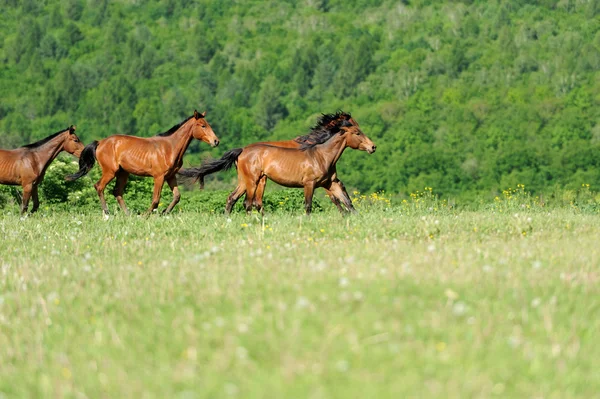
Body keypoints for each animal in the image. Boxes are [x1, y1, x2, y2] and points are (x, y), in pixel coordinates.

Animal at [67, 110, 219, 216]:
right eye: (202, 125)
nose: (216, 141)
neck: (169, 148)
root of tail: (100, 143)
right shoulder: (159, 177)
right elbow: (156, 199)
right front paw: (146, 215)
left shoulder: (171, 176)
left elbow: (177, 196)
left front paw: (164, 212)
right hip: (110, 172)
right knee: (99, 187)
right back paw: (107, 212)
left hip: (123, 173)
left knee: (117, 192)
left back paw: (128, 215)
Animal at [180, 122, 376, 216]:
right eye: (357, 133)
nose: (373, 147)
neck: (322, 156)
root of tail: (242, 150)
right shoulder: (310, 184)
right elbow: (309, 205)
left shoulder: (330, 183)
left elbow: (346, 201)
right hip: (253, 181)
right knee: (247, 203)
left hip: (246, 181)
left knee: (232, 199)